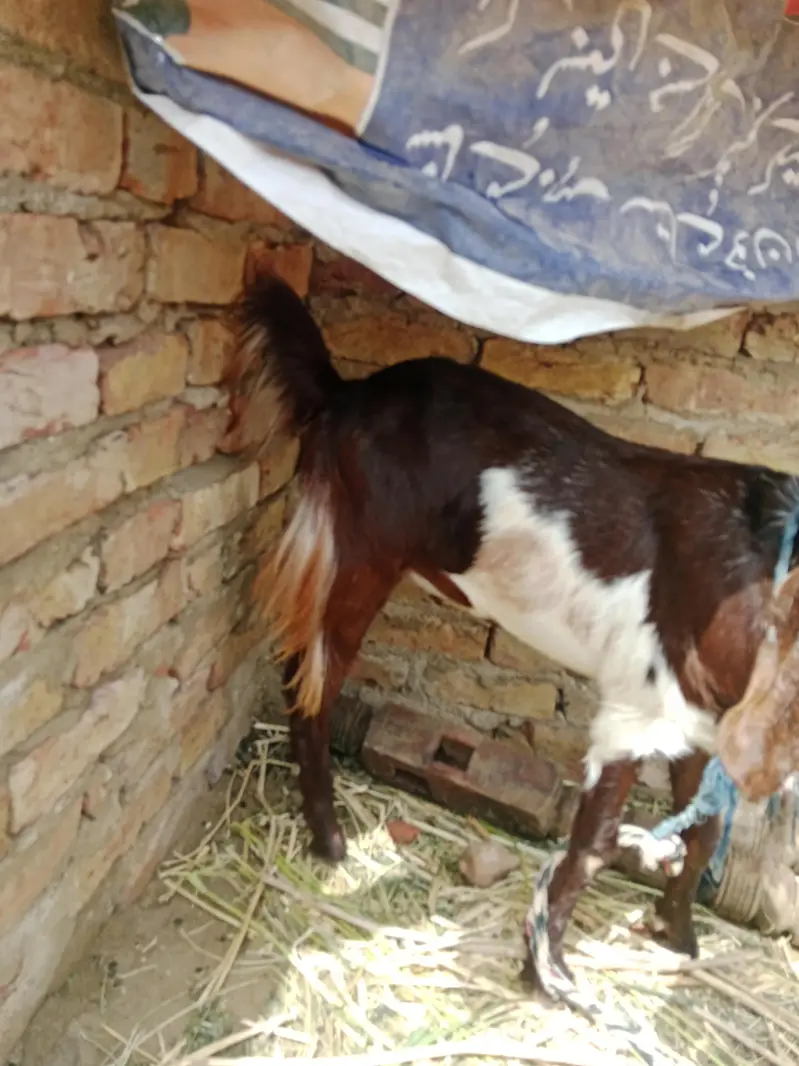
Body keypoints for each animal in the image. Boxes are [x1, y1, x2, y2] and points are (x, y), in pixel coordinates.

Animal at [233, 273, 799, 986]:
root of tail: (347, 392)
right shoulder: (635, 705)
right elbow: (594, 842)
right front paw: (548, 974)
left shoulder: (700, 719)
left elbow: (700, 833)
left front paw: (678, 937)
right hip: (361, 546)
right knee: (312, 680)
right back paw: (330, 841)